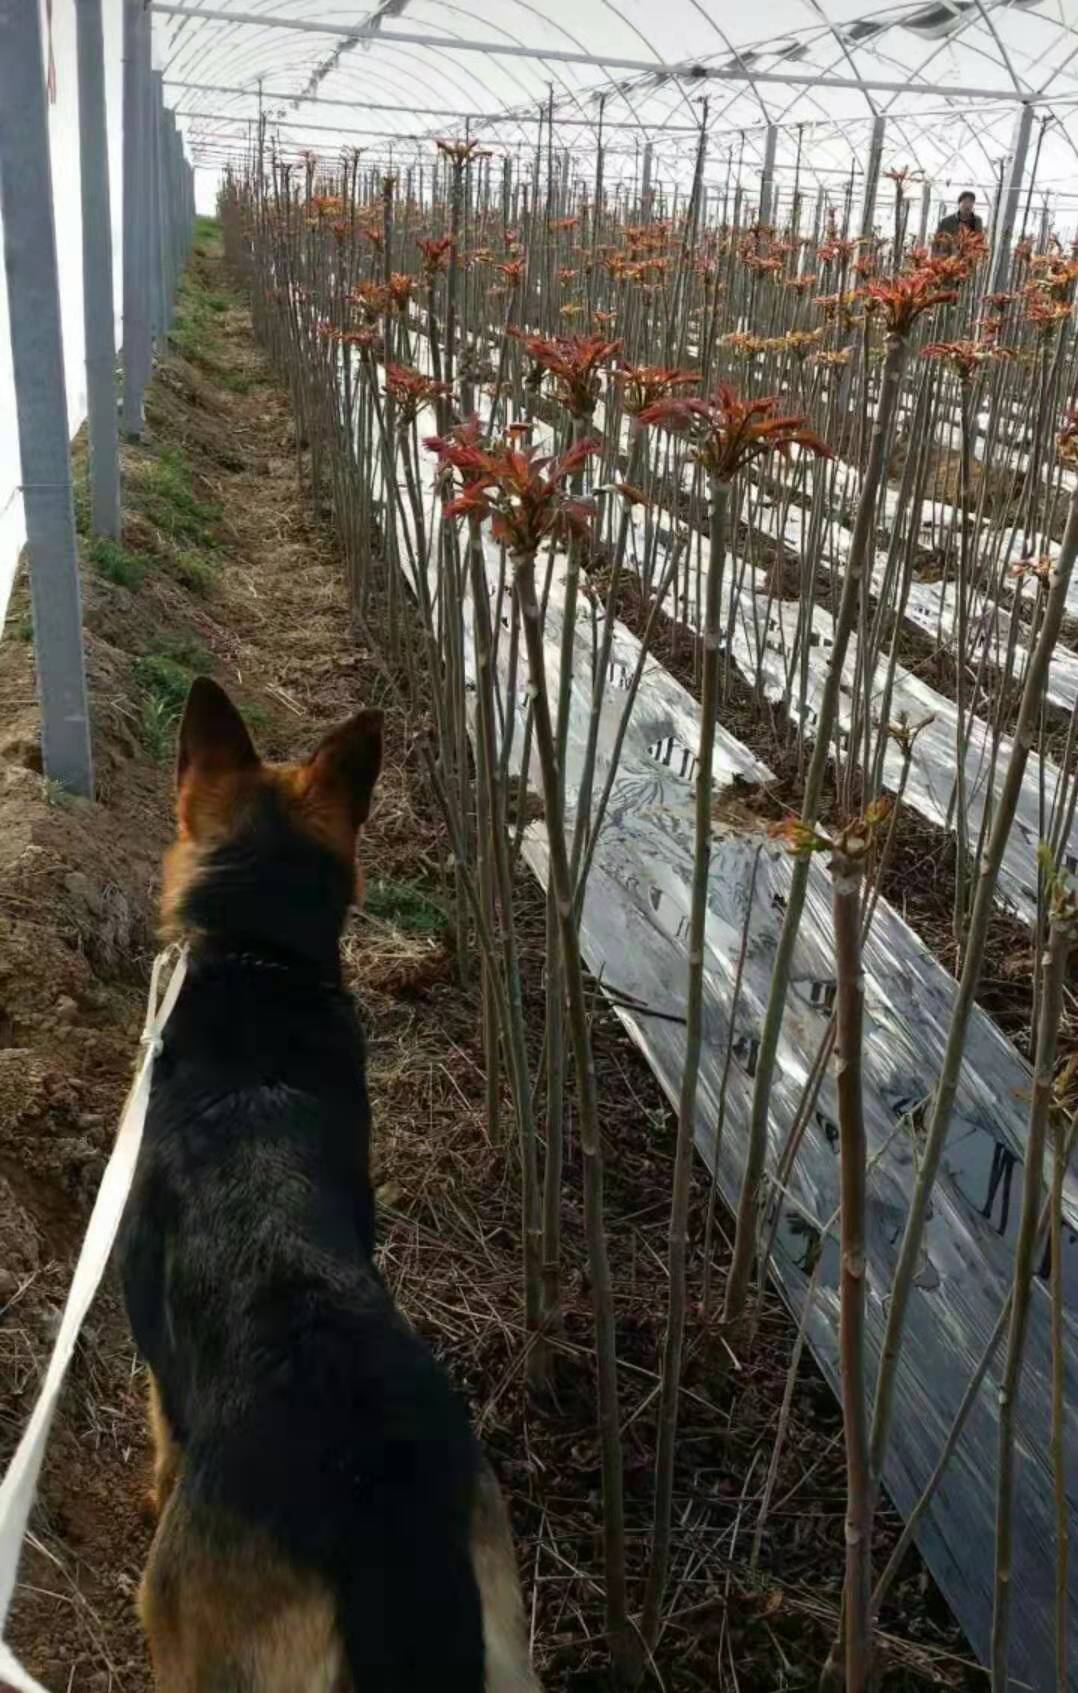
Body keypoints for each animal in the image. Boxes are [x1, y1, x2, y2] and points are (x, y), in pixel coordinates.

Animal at [117, 677, 538, 1693]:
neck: (258, 958)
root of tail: (379, 1522)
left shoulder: (160, 1380)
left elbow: (159, 1442)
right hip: (504, 1641)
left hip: (191, 1643)